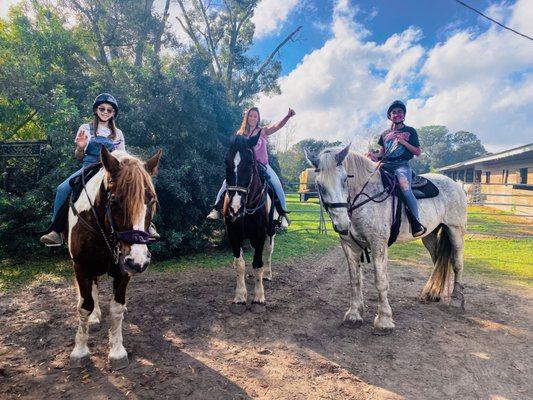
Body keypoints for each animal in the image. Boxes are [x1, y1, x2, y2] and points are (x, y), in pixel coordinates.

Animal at [66, 146, 160, 368]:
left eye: (151, 200)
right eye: (114, 200)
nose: (139, 261)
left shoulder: (123, 270)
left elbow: (117, 309)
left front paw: (117, 351)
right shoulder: (81, 267)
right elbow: (84, 306)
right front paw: (80, 351)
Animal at [308, 146, 466, 334]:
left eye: (345, 179)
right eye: (319, 185)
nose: (342, 224)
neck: (366, 197)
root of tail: (454, 184)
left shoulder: (378, 244)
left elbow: (380, 281)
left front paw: (384, 320)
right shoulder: (349, 245)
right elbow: (355, 280)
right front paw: (354, 314)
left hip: (455, 231)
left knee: (456, 264)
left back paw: (456, 300)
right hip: (430, 235)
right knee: (438, 260)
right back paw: (433, 293)